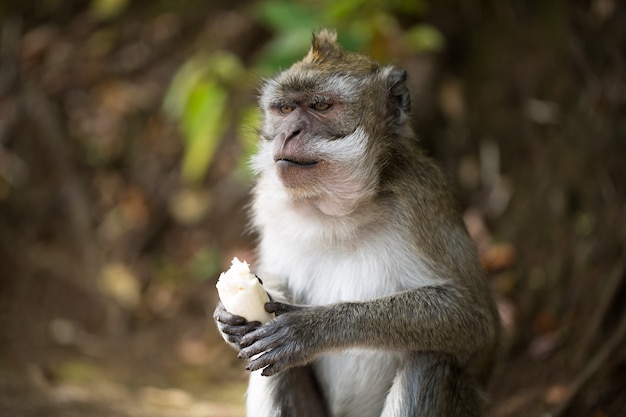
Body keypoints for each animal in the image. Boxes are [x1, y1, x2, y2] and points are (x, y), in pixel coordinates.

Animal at [213, 29, 498, 416]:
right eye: (285, 109)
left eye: (321, 107)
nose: (289, 133)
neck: (338, 212)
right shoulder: (269, 204)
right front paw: (230, 319)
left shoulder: (421, 200)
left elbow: (475, 321)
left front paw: (314, 328)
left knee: (430, 362)